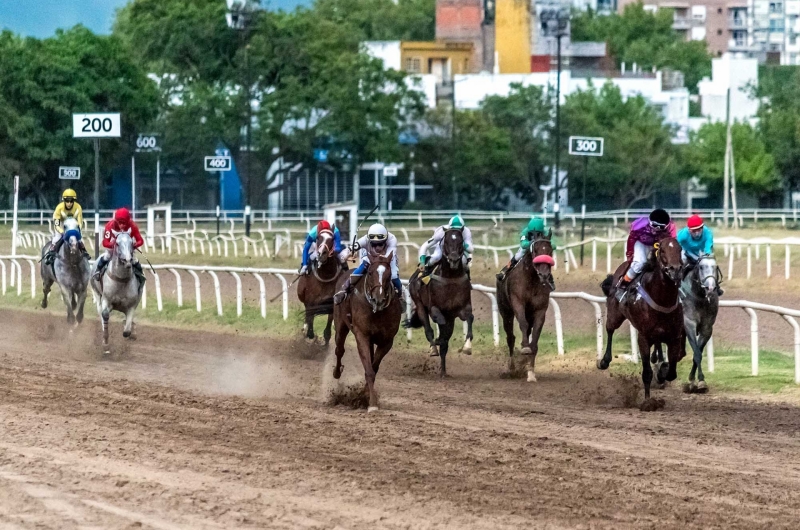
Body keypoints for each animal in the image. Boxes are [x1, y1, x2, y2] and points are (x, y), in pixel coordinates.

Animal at [332, 250, 404, 410]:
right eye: (370, 273)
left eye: (389, 275)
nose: (379, 299)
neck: (376, 310)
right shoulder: (362, 335)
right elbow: (369, 371)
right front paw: (371, 403)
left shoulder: (386, 341)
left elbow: (373, 368)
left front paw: (364, 396)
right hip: (340, 324)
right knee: (339, 349)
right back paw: (336, 372)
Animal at [406, 227, 476, 376]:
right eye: (446, 242)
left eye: (461, 242)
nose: (454, 259)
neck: (451, 277)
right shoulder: (435, 309)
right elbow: (440, 325)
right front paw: (438, 341)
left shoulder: (461, 308)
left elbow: (469, 318)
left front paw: (467, 347)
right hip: (420, 305)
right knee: (428, 330)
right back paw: (434, 348)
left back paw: (443, 371)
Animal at [496, 238, 552, 380]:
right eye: (535, 250)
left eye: (550, 251)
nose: (544, 274)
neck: (531, 280)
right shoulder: (518, 303)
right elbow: (523, 324)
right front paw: (525, 349)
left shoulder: (540, 310)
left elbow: (535, 335)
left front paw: (531, 372)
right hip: (506, 313)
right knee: (510, 337)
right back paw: (511, 368)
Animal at [600, 237, 688, 410]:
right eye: (662, 250)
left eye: (680, 249)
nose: (675, 270)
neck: (662, 300)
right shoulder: (644, 337)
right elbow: (647, 373)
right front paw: (648, 401)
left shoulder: (674, 337)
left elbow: (672, 372)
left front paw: (662, 373)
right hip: (615, 314)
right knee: (609, 329)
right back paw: (604, 361)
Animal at [680, 252, 720, 392]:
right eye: (701, 267)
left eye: (715, 267)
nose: (710, 288)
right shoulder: (689, 324)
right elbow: (697, 353)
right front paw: (697, 381)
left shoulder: (707, 328)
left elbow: (698, 353)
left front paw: (697, 381)